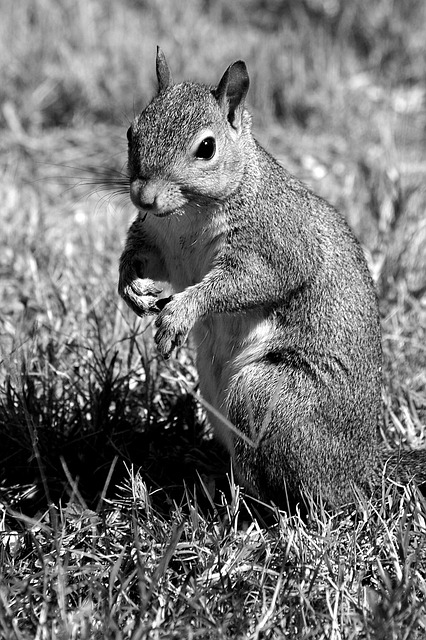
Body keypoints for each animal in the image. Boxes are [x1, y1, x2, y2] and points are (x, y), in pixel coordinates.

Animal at [117, 47, 426, 508]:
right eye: (131, 131)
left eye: (206, 148)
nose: (144, 196)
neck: (187, 215)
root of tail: (359, 470)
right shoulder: (158, 239)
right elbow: (143, 260)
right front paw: (130, 288)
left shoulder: (276, 245)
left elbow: (245, 283)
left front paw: (180, 313)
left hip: (267, 396)